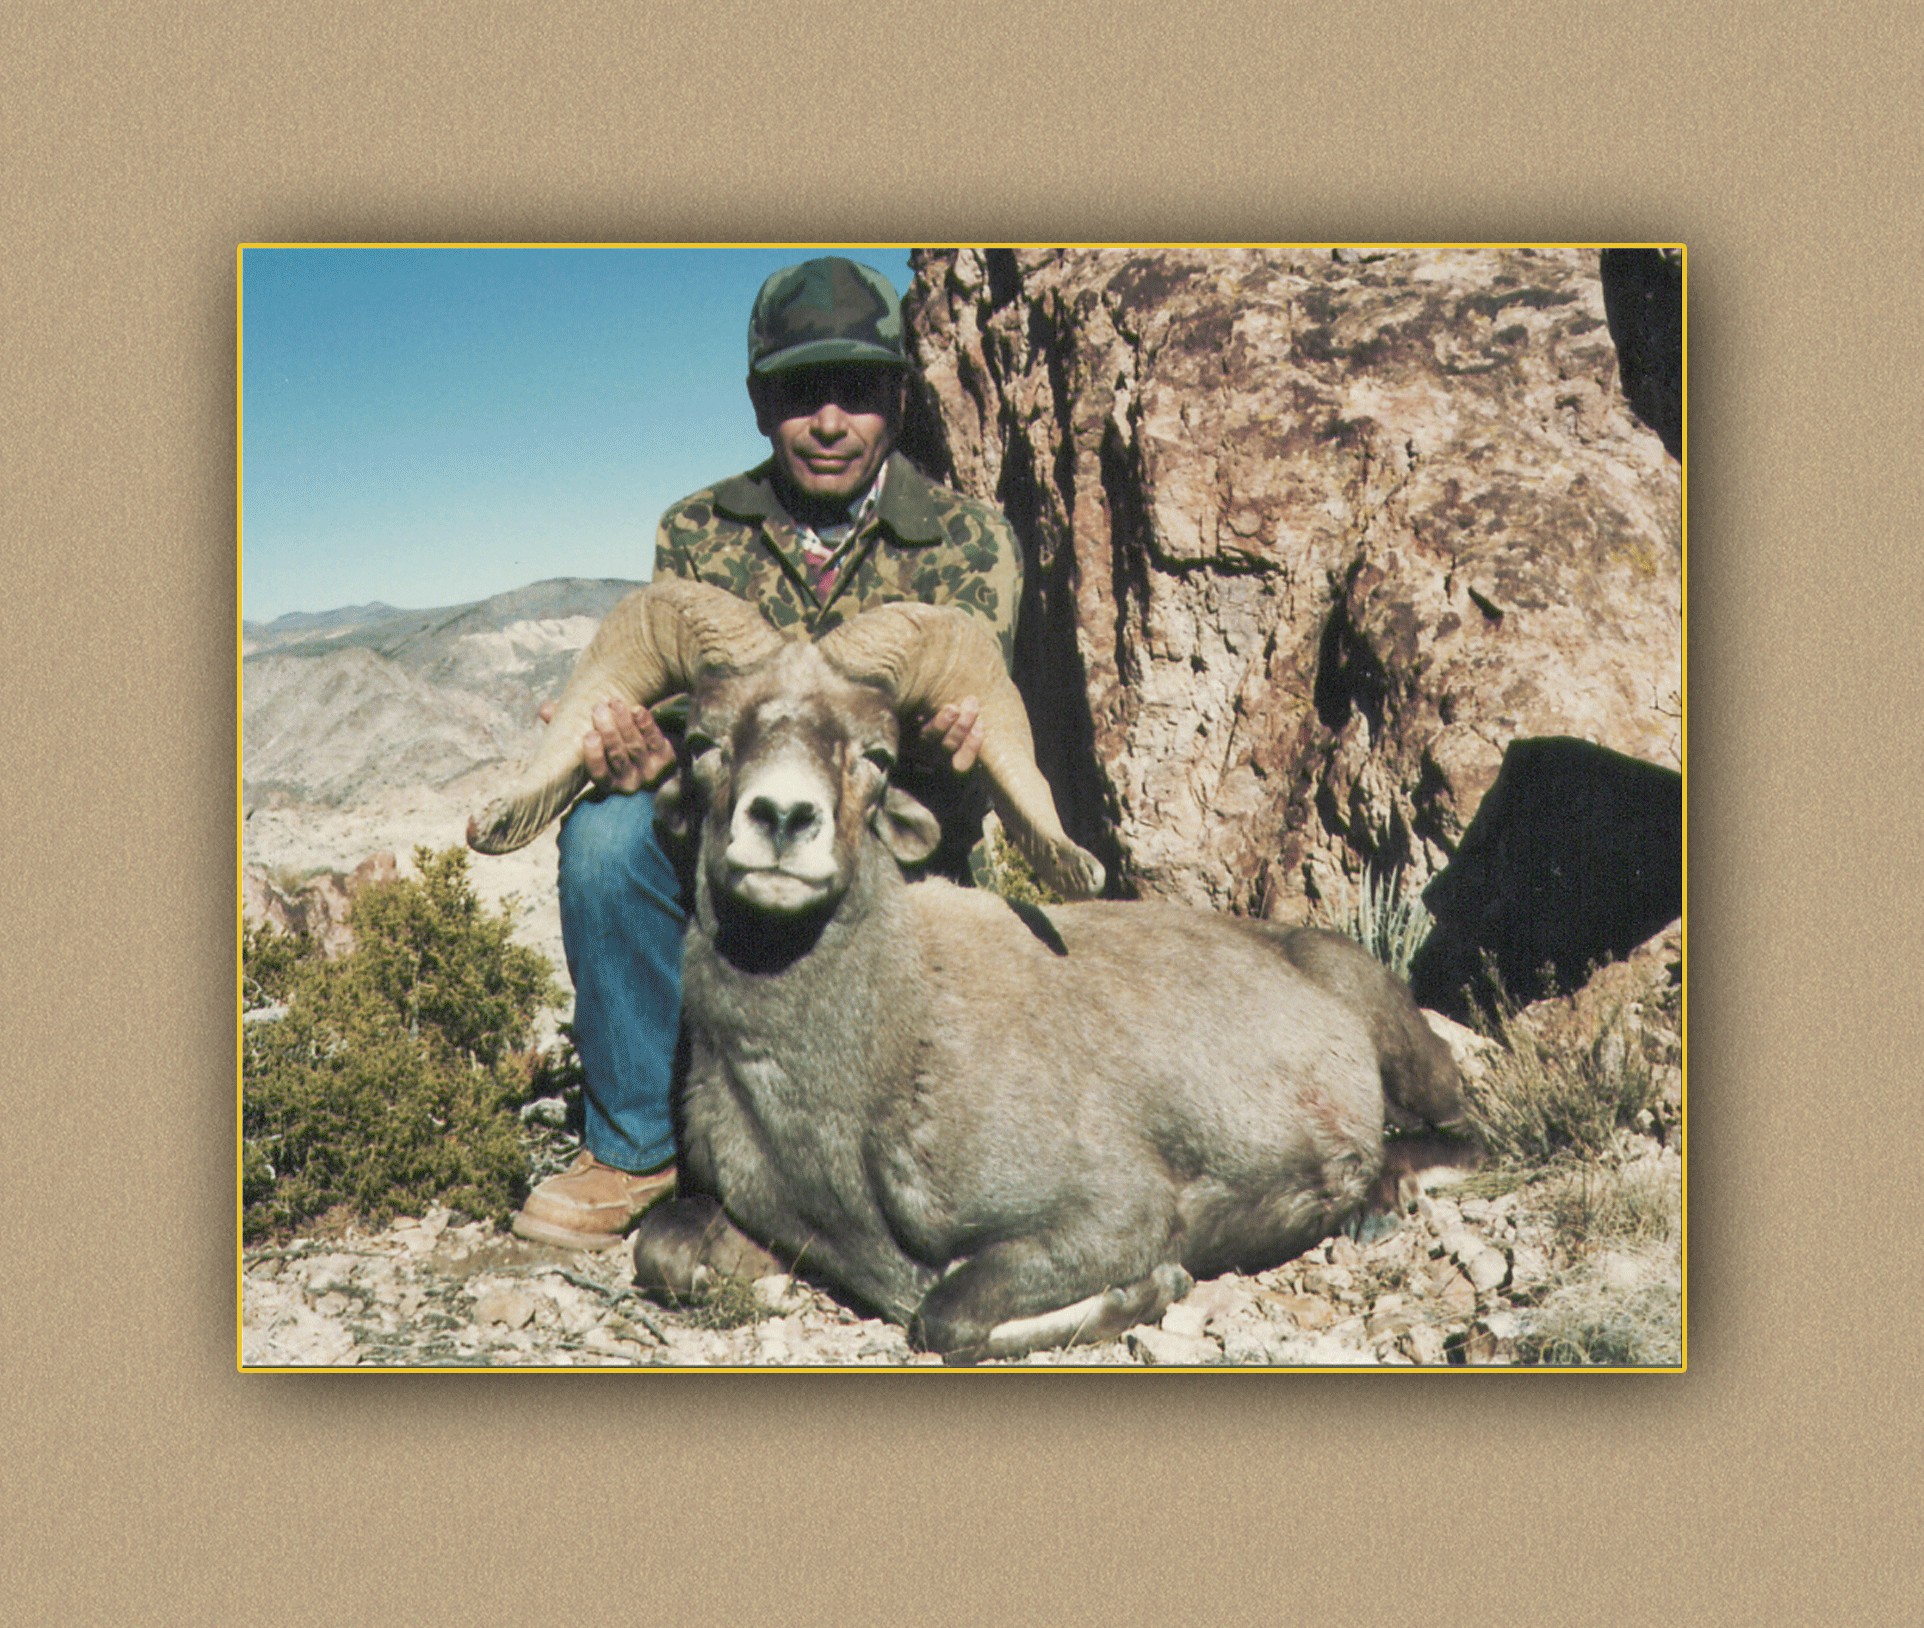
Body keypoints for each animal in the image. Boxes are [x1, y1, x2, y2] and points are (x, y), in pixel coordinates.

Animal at [469, 580, 1469, 1362]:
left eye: (875, 755)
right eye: (707, 743)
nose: (783, 819)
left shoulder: (1108, 1216)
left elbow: (943, 1316)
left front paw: (1148, 1293)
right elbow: (665, 1252)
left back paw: (1381, 1202)